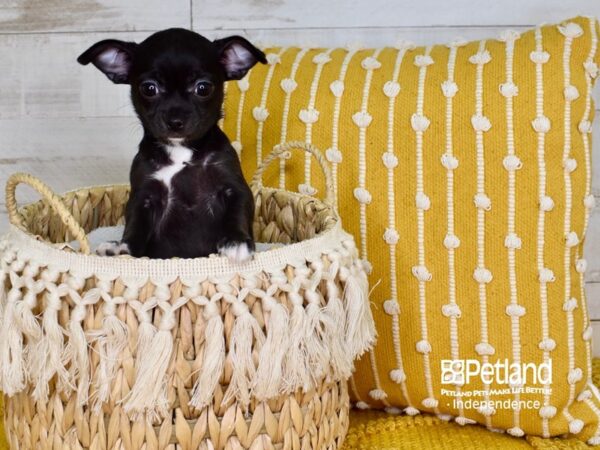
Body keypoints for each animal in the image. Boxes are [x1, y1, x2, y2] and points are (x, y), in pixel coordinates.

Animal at [77, 29, 264, 260]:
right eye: (149, 89)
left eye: (203, 88)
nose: (175, 120)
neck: (181, 152)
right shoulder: (143, 197)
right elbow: (135, 226)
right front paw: (123, 247)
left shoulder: (234, 188)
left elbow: (237, 212)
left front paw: (236, 241)